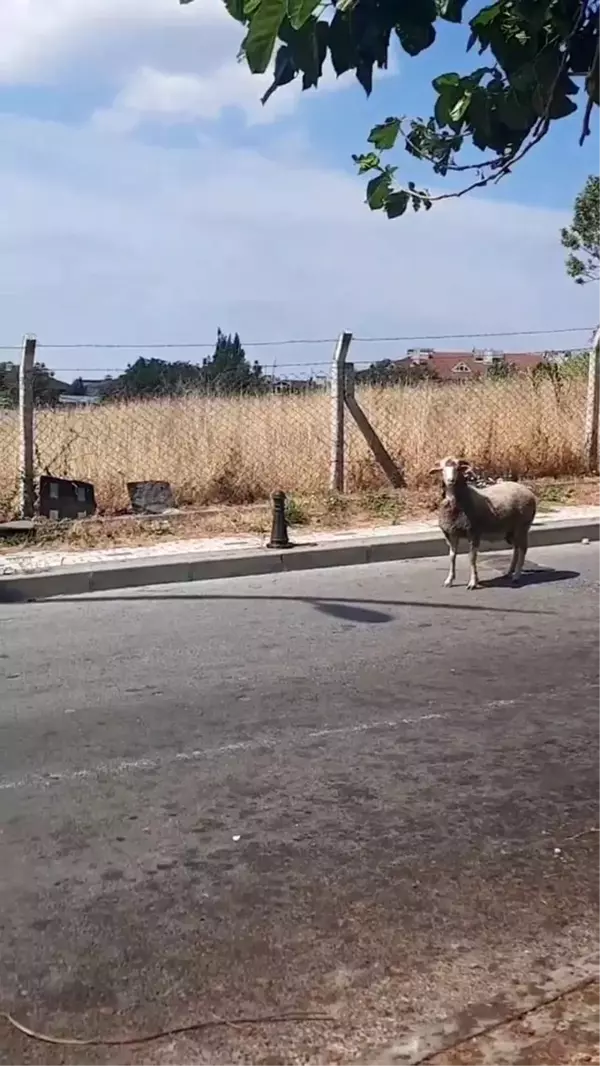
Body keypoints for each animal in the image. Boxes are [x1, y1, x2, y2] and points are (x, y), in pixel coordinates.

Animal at [432, 456, 539, 592]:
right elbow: (452, 556)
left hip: (522, 526)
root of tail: (529, 492)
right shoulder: (451, 533)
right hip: (511, 530)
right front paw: (449, 580)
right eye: (442, 469)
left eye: (458, 468)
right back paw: (510, 571)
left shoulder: (473, 532)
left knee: (523, 549)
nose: (451, 480)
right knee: (516, 548)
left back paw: (517, 575)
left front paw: (473, 582)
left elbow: (472, 557)